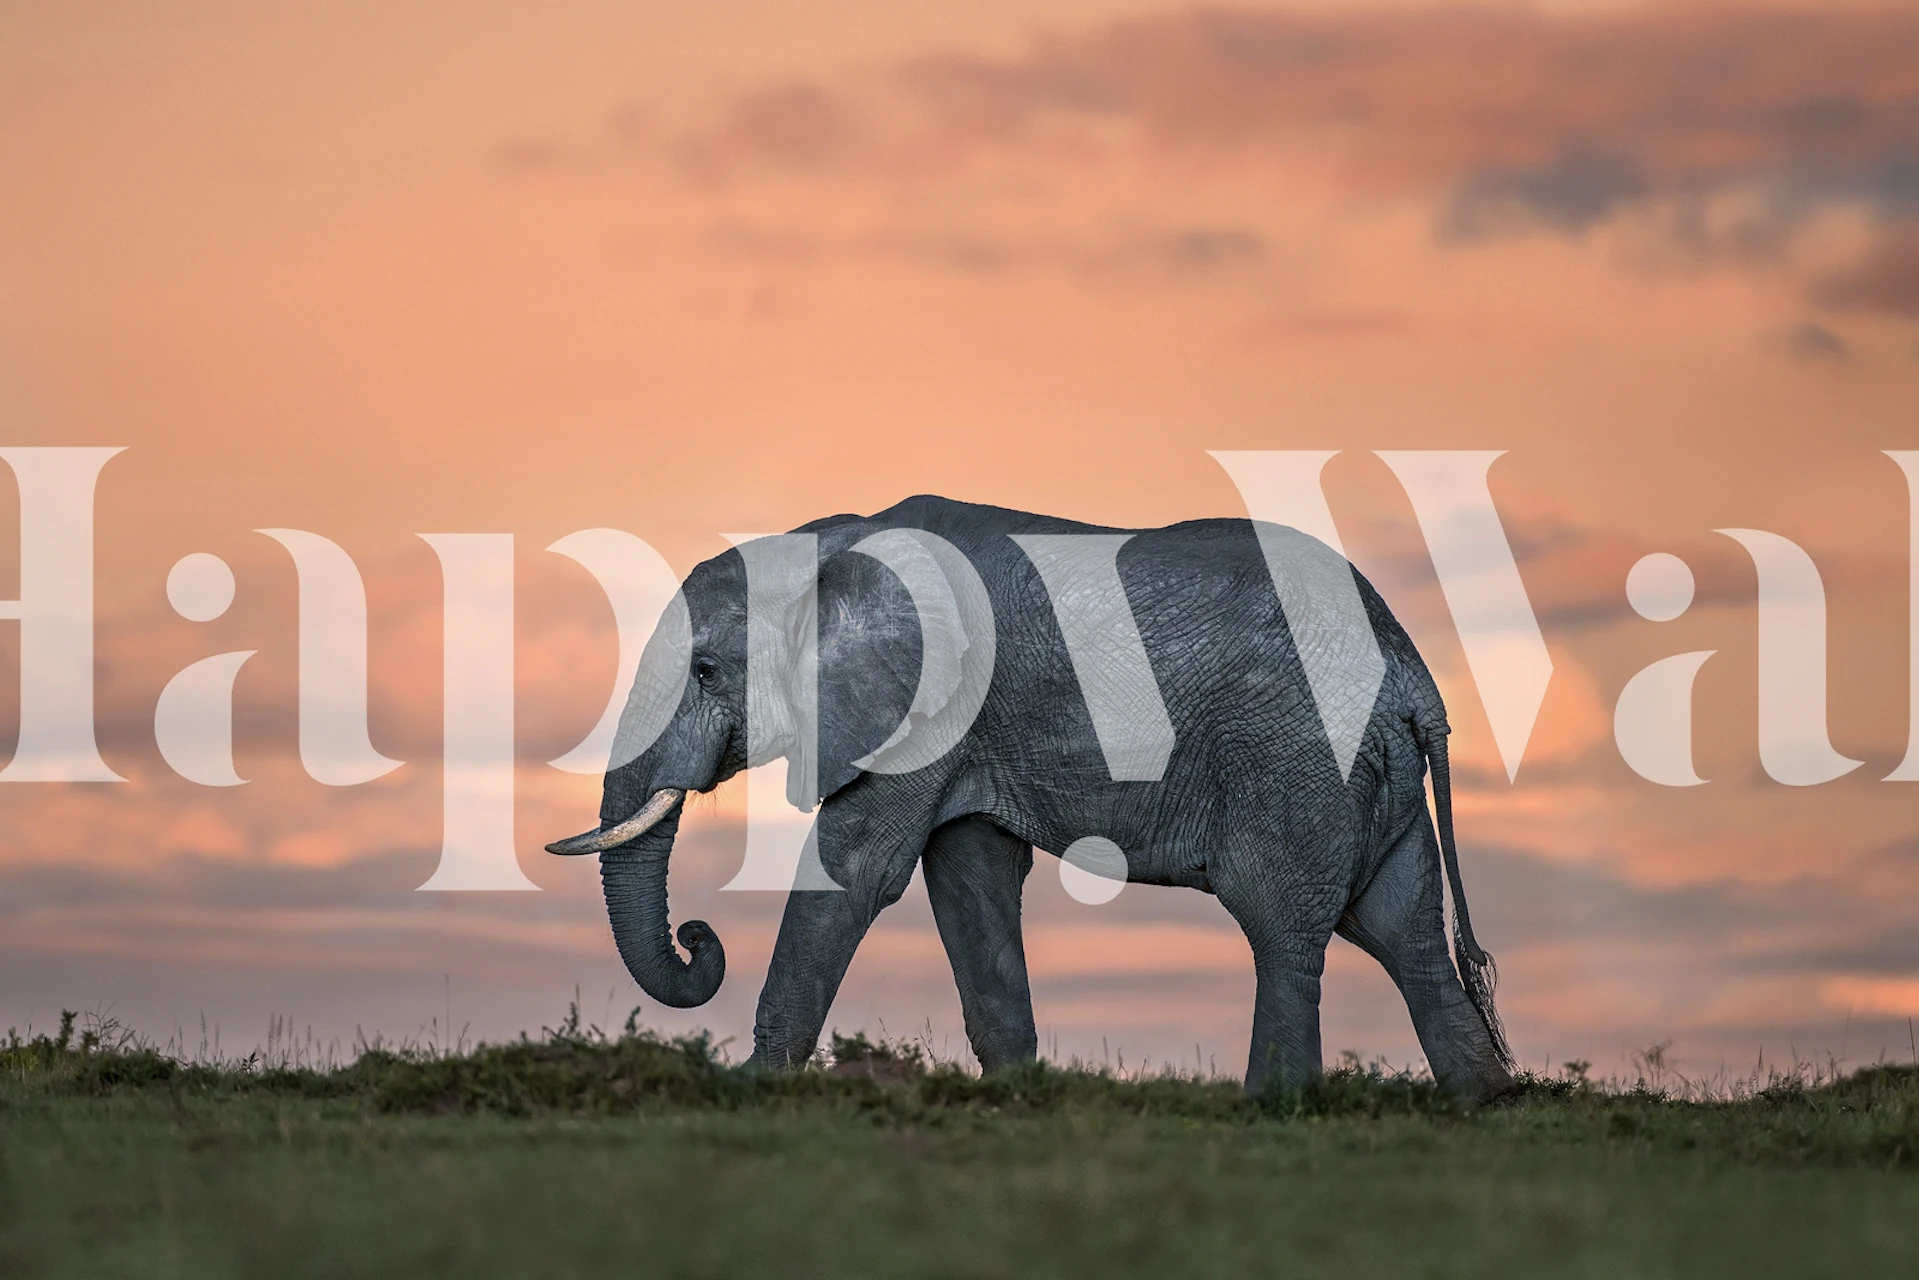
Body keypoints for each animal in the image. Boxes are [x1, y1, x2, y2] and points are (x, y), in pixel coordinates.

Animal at [548, 494, 1515, 1098]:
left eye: (708, 671)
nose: (696, 938)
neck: (830, 542)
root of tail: (1413, 675)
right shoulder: (963, 728)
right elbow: (968, 879)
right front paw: (1017, 1090)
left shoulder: (931, 698)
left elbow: (858, 868)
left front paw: (749, 1085)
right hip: (1373, 779)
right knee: (1402, 932)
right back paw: (1486, 1104)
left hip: (1298, 759)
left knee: (1283, 925)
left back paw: (1268, 1107)